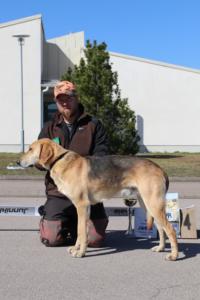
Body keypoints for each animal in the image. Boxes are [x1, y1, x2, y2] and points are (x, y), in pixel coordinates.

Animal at [18, 138, 178, 260]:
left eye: (31, 149)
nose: (17, 162)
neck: (59, 160)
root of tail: (160, 168)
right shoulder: (85, 208)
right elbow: (81, 232)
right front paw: (77, 248)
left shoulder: (82, 206)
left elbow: (81, 232)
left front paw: (80, 253)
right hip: (148, 206)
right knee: (161, 229)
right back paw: (161, 248)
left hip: (154, 205)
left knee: (170, 229)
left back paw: (174, 255)